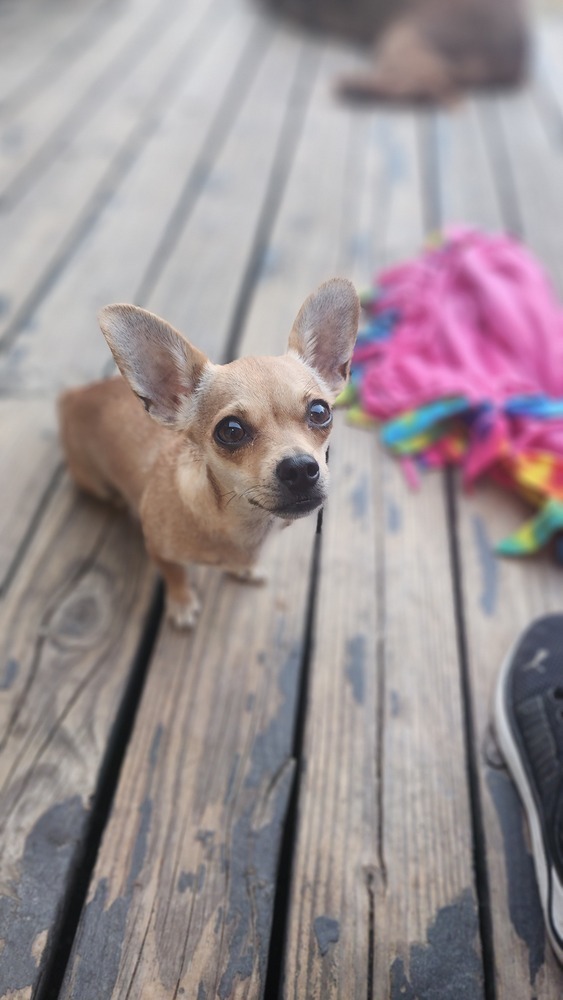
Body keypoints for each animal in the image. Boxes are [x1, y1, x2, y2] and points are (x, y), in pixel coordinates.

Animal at [60, 278, 362, 628]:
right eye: (231, 431)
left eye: (320, 412)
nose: (300, 468)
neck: (241, 524)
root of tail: (73, 396)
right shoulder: (158, 549)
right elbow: (175, 574)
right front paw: (182, 602)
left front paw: (245, 569)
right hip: (97, 484)